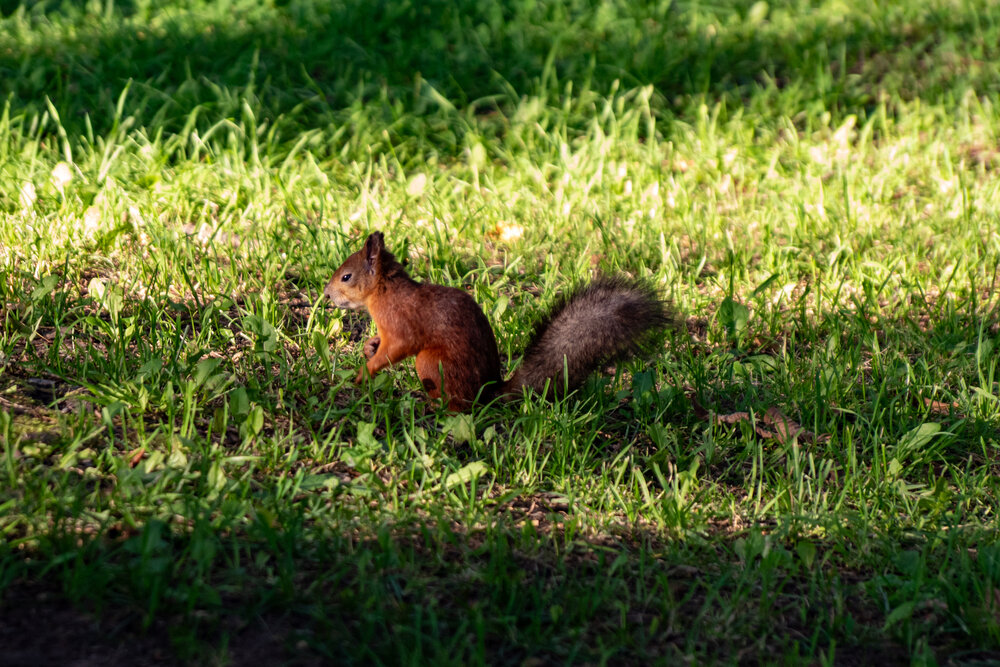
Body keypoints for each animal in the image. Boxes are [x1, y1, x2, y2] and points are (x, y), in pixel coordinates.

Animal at [323, 231, 670, 412]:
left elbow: (398, 347)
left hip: (431, 364)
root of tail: (488, 392)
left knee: (458, 406)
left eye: (346, 277)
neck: (386, 290)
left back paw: (431, 406)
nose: (327, 294)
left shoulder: (402, 324)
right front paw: (369, 346)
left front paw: (363, 373)